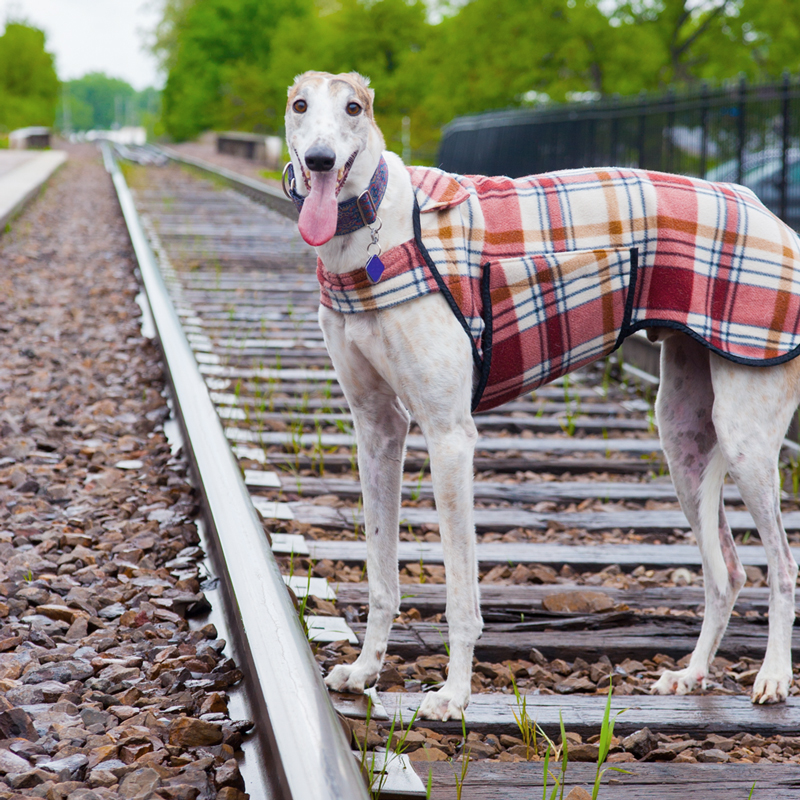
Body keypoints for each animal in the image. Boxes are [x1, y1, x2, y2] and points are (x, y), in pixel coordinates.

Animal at [284, 70, 800, 720]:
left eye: (353, 107)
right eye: (299, 105)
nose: (321, 160)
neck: (376, 233)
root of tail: (769, 215)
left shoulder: (450, 438)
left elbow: (461, 594)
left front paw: (453, 695)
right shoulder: (378, 431)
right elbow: (381, 575)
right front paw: (364, 671)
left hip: (745, 439)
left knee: (782, 566)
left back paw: (774, 677)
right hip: (684, 433)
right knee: (727, 571)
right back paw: (692, 674)